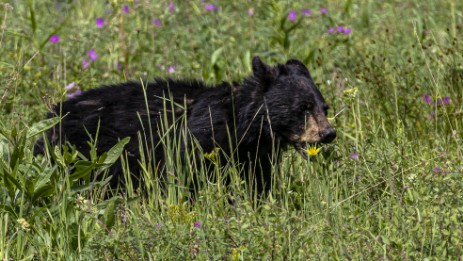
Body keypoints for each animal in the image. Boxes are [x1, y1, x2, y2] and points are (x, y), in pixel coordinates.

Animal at [35, 57, 334, 194]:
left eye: (324, 107)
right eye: (303, 108)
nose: (328, 134)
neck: (244, 126)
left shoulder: (254, 155)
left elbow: (257, 182)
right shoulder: (198, 142)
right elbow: (184, 176)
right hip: (83, 157)